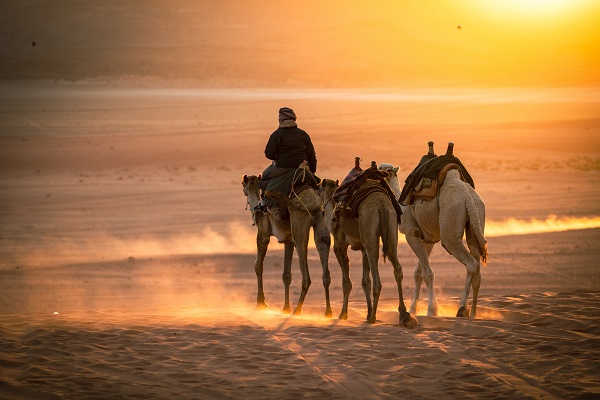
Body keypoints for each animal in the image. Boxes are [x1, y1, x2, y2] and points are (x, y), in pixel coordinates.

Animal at [240, 173, 332, 318]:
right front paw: (285, 308)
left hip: (299, 221)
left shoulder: (263, 234)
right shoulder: (288, 240)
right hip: (322, 220)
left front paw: (261, 303)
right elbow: (286, 275)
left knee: (305, 271)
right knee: (324, 256)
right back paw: (328, 312)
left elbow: (258, 266)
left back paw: (297, 310)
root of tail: (314, 202)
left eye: (243, 183)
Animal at [318, 176, 418, 328]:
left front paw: (343, 314)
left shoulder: (339, 245)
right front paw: (367, 311)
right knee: (397, 268)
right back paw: (403, 315)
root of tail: (382, 206)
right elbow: (365, 281)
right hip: (391, 229)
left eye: (319, 188)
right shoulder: (363, 248)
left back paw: (373, 317)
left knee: (377, 278)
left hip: (370, 228)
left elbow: (346, 282)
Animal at [380, 157, 488, 318]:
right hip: (476, 219)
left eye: (385, 170)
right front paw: (413, 309)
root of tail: (468, 197)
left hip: (450, 226)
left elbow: (428, 273)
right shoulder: (428, 239)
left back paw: (462, 308)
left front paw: (431, 310)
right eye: (378, 168)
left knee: (471, 263)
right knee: (478, 270)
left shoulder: (411, 233)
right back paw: (473, 314)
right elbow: (418, 273)